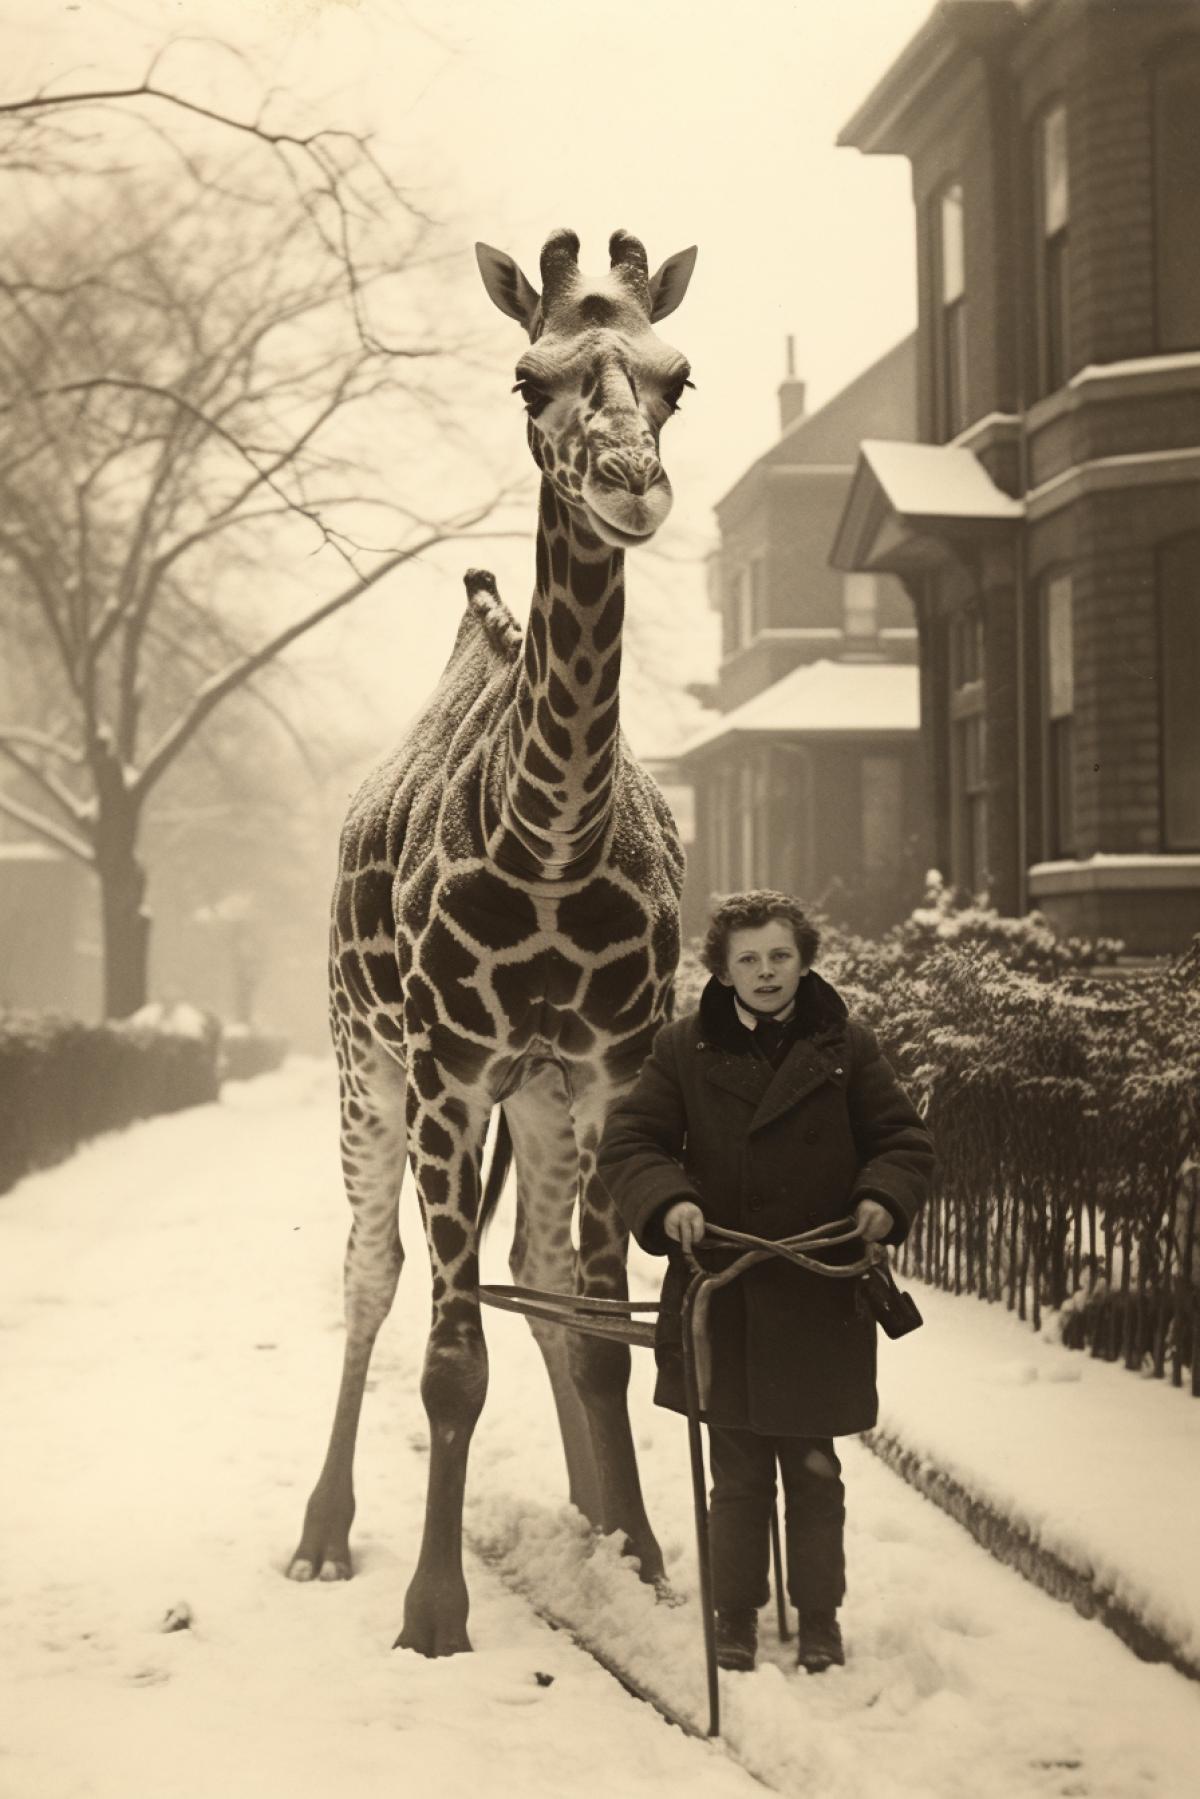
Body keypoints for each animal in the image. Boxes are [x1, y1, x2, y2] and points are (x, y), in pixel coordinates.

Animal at [287, 228, 698, 1657]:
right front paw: (431, 1610)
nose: (632, 488)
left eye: (679, 376)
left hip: (536, 1097)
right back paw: (321, 1533)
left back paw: (588, 1510)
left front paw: (638, 1554)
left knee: (536, 1272)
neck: (552, 843)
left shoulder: (610, 1071)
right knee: (369, 1271)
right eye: (531, 376)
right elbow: (450, 1357)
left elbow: (599, 1327)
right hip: (366, 1068)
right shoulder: (449, 1072)